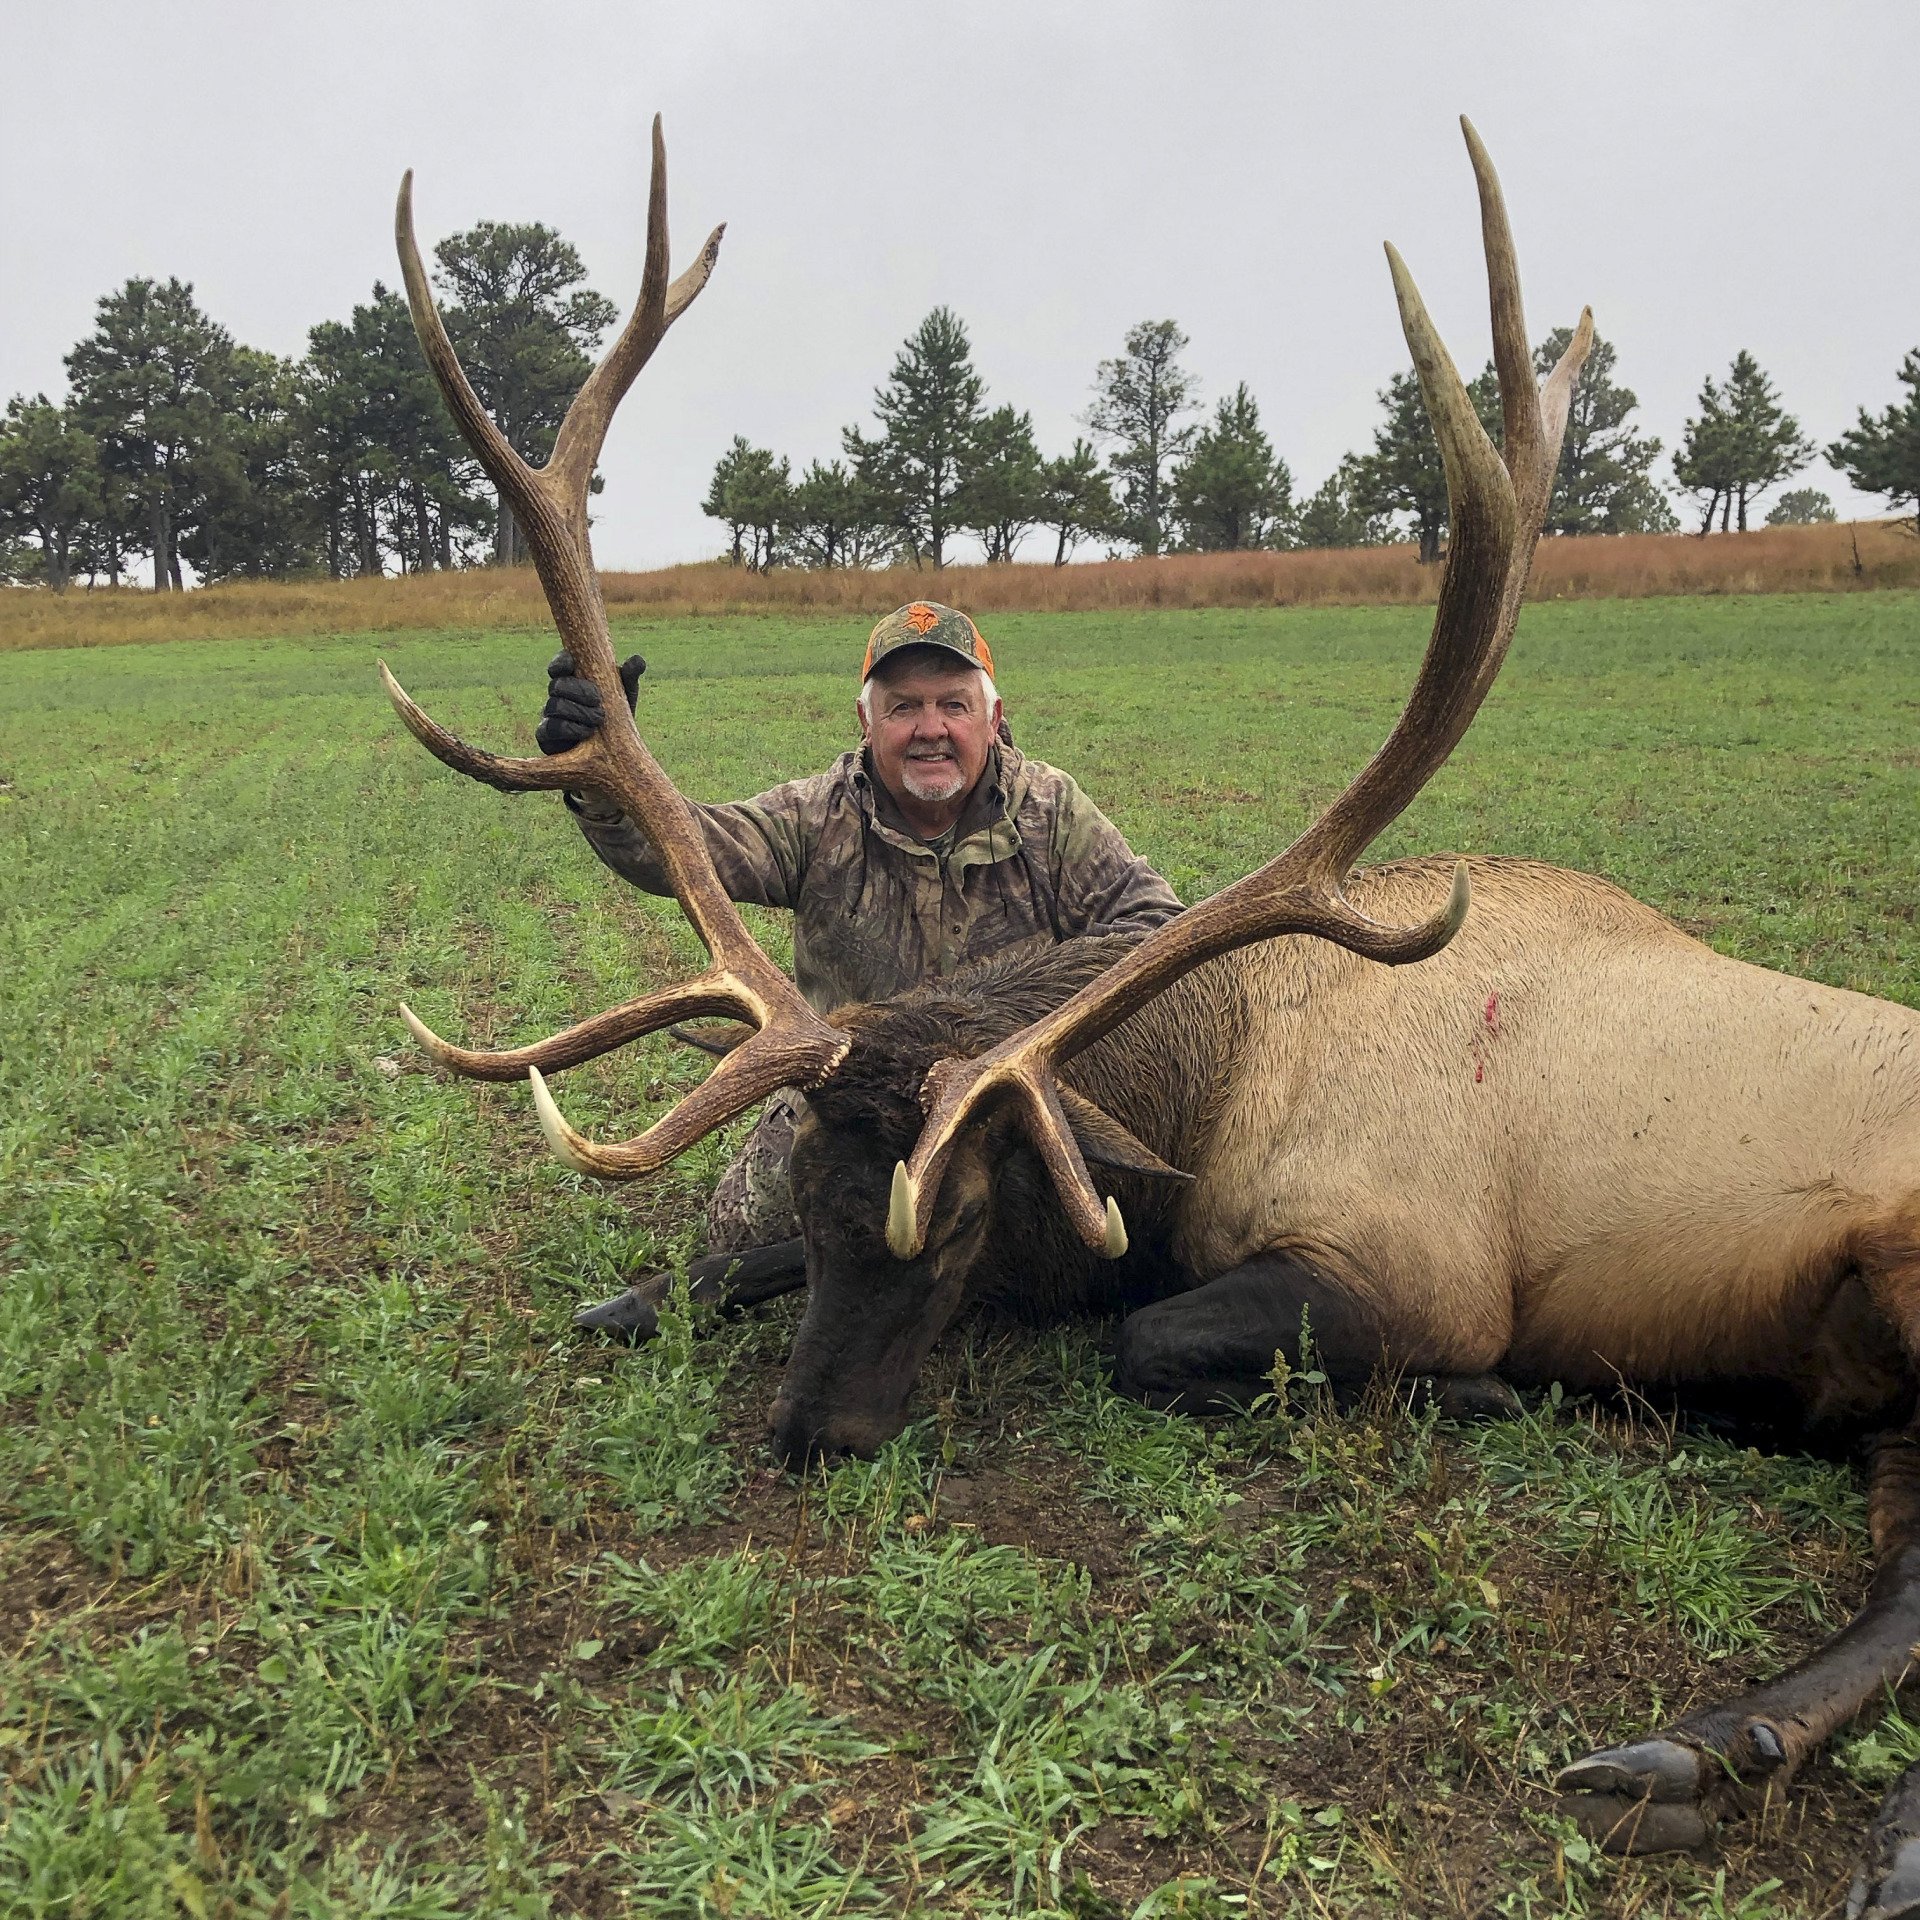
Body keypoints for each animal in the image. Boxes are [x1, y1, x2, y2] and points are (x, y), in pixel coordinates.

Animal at [377, 118, 1920, 1913]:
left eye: (963, 1225)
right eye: (821, 1211)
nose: (814, 1439)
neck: (1216, 1071)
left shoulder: (1410, 1262)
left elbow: (1150, 1336)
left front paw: (1473, 1393)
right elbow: (710, 1278)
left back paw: (1705, 1758)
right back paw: (1706, 1751)